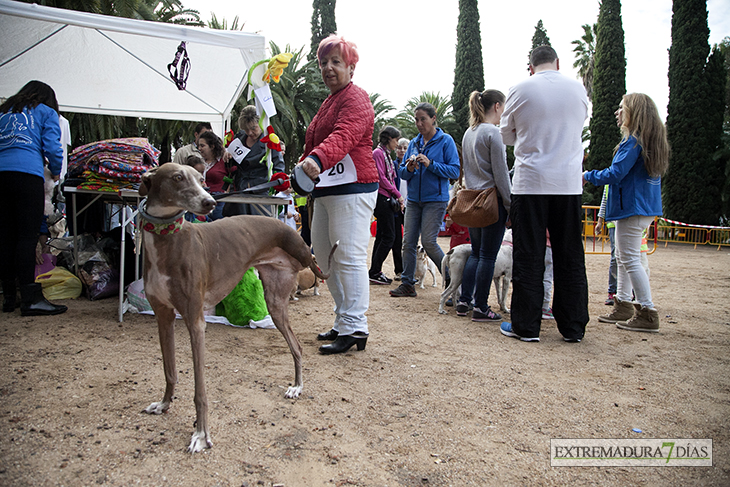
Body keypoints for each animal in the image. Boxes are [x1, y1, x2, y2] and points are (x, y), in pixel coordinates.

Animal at [136, 164, 332, 454]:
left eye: (202, 179)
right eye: (177, 177)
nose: (209, 202)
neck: (167, 241)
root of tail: (296, 238)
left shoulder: (195, 321)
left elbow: (200, 391)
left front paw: (200, 434)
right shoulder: (163, 315)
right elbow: (169, 370)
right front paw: (164, 404)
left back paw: (297, 387)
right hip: (276, 303)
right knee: (296, 346)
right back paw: (296, 386)